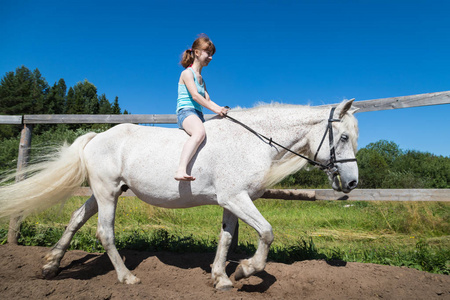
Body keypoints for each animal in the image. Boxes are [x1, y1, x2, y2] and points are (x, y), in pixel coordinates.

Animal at [0, 99, 358, 290]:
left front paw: (221, 278)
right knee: (105, 233)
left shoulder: (230, 201)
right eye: (342, 137)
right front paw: (244, 270)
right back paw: (127, 277)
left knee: (76, 219)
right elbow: (267, 233)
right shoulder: (236, 198)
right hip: (107, 193)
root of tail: (95, 137)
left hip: (104, 192)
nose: (352, 183)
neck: (252, 141)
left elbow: (226, 238)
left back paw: (51, 266)